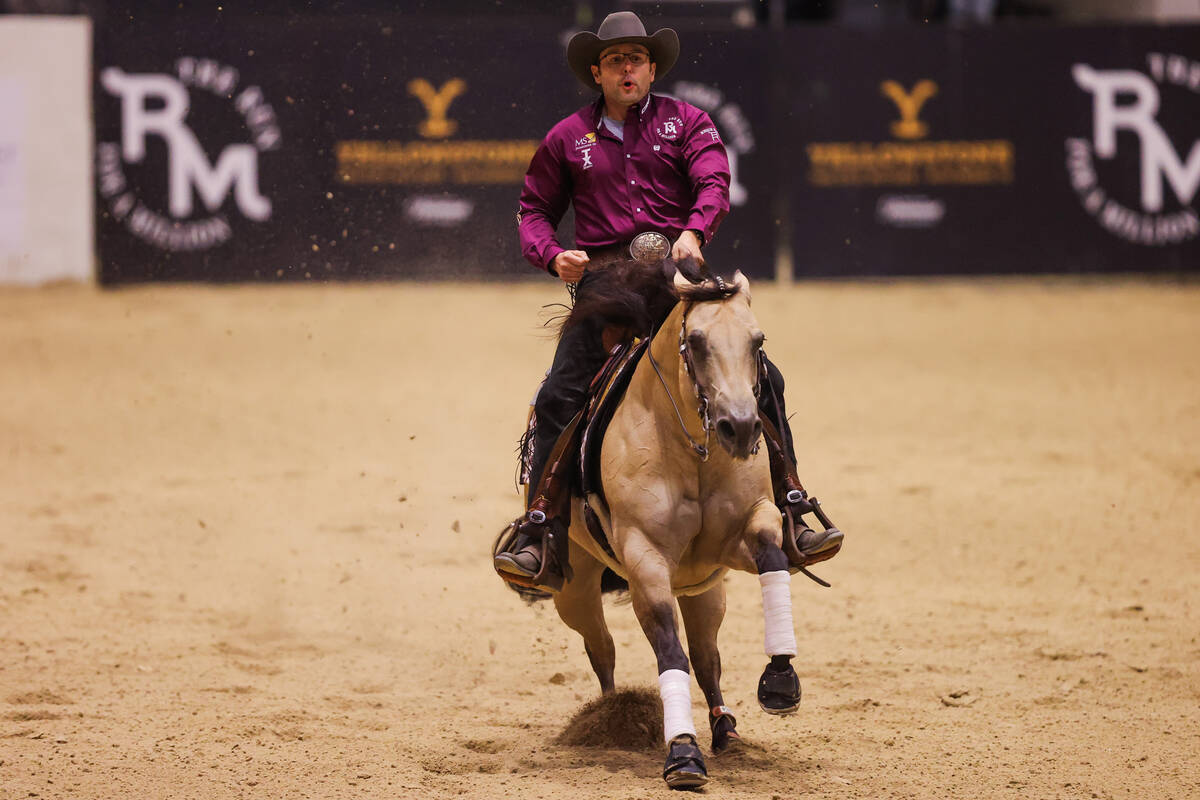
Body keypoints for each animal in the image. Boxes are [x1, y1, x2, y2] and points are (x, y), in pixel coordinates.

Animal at [506, 261, 844, 786]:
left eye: (758, 341)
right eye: (697, 341)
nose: (740, 427)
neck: (691, 452)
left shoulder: (740, 536)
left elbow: (771, 555)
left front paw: (780, 682)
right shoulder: (645, 559)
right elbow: (668, 648)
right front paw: (683, 752)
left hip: (704, 589)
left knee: (707, 660)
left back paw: (726, 729)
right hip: (575, 590)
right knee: (603, 650)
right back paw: (612, 719)